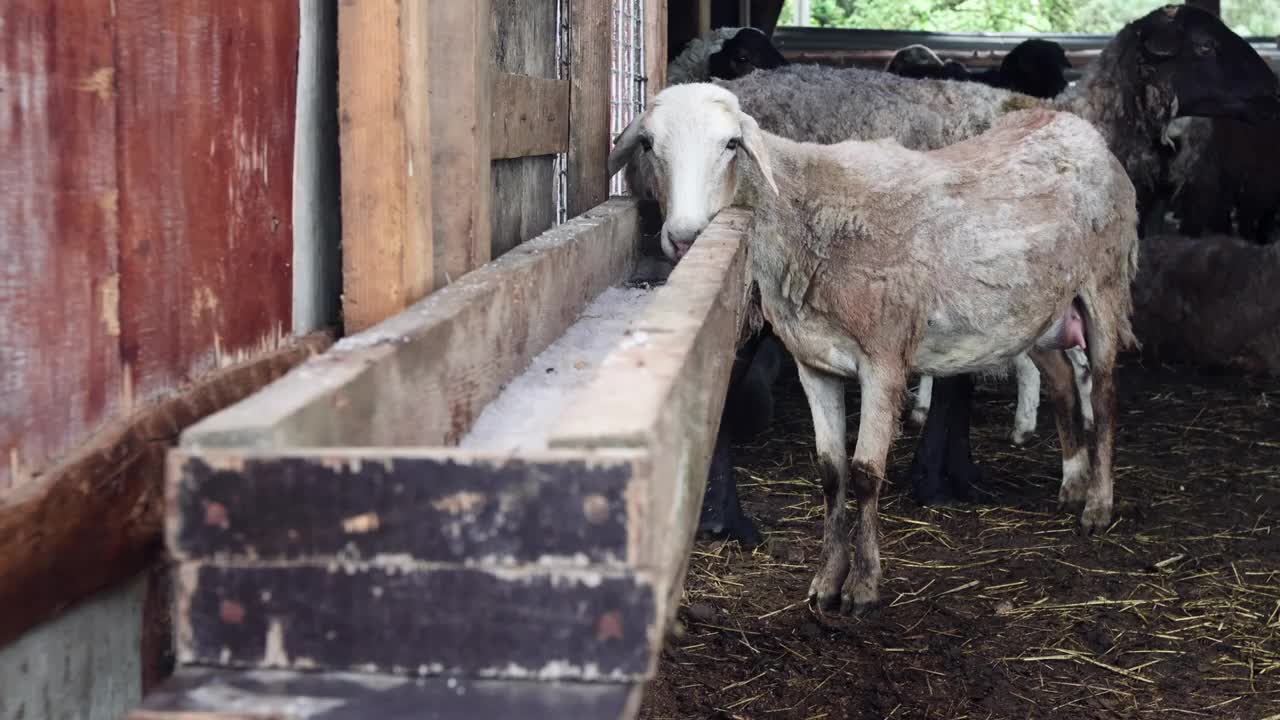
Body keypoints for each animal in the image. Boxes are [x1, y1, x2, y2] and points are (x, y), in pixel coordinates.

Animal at [614, 83, 1136, 609]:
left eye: (730, 144)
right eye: (648, 145)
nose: (684, 238)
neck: (804, 212)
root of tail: (1074, 124)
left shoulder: (884, 359)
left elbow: (865, 472)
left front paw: (862, 585)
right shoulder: (814, 362)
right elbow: (831, 472)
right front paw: (826, 580)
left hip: (1102, 283)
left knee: (1104, 394)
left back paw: (1098, 506)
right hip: (1035, 313)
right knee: (1065, 383)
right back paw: (1072, 484)